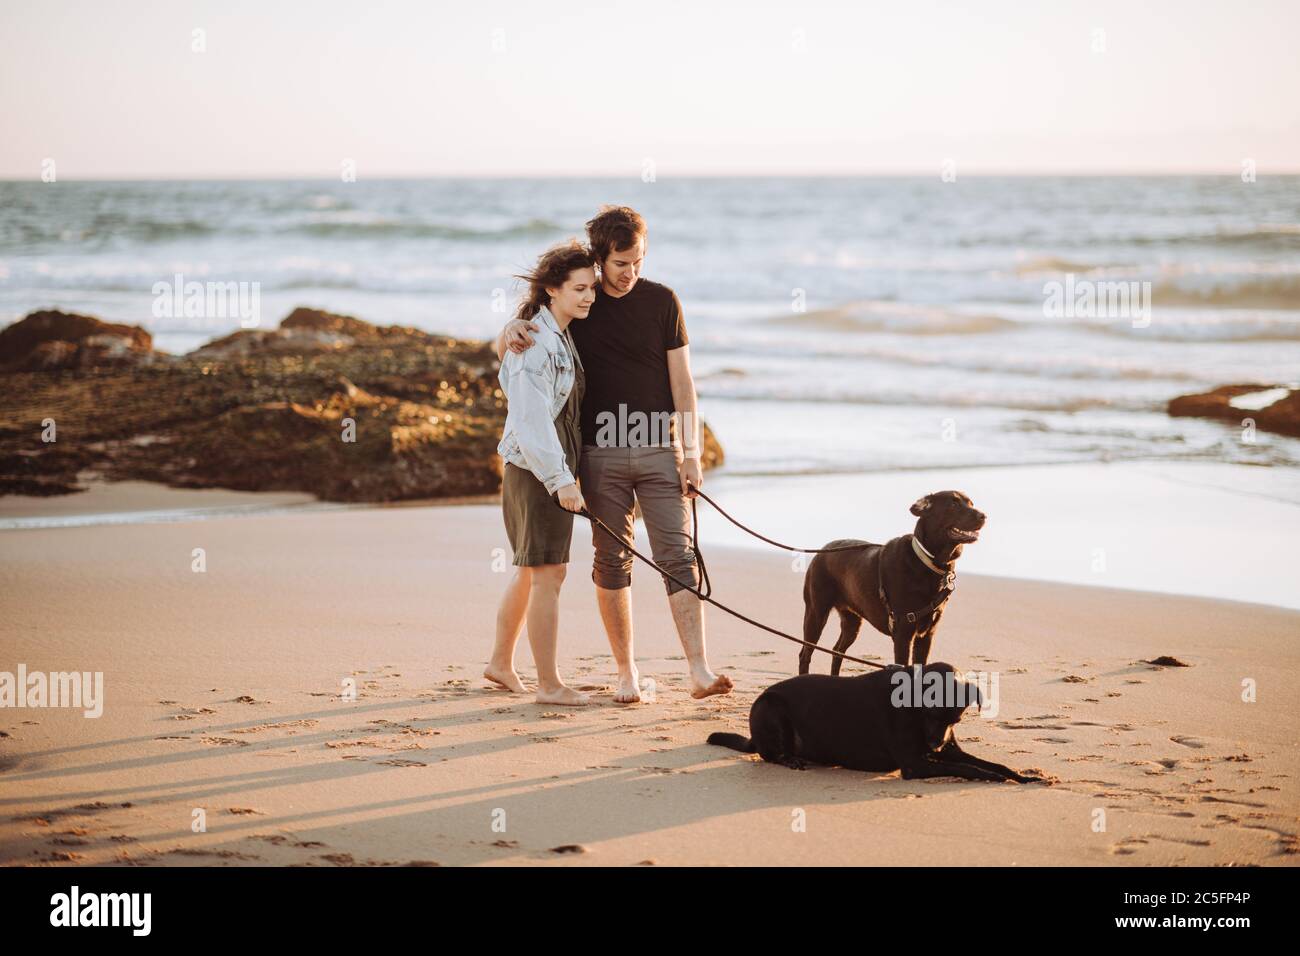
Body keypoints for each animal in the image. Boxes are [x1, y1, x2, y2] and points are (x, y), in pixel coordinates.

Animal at [712, 660, 1045, 780]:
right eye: (930, 713)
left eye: (958, 719)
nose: (935, 745)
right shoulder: (915, 764)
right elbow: (967, 768)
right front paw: (993, 778)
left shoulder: (947, 749)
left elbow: (991, 763)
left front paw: (1022, 776)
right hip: (770, 707)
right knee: (769, 754)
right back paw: (790, 759)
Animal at [790, 494, 982, 671]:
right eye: (953, 503)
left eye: (971, 503)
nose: (983, 516)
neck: (927, 561)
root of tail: (820, 552)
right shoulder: (903, 633)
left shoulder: (926, 635)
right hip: (816, 613)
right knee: (805, 653)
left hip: (852, 621)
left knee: (837, 650)